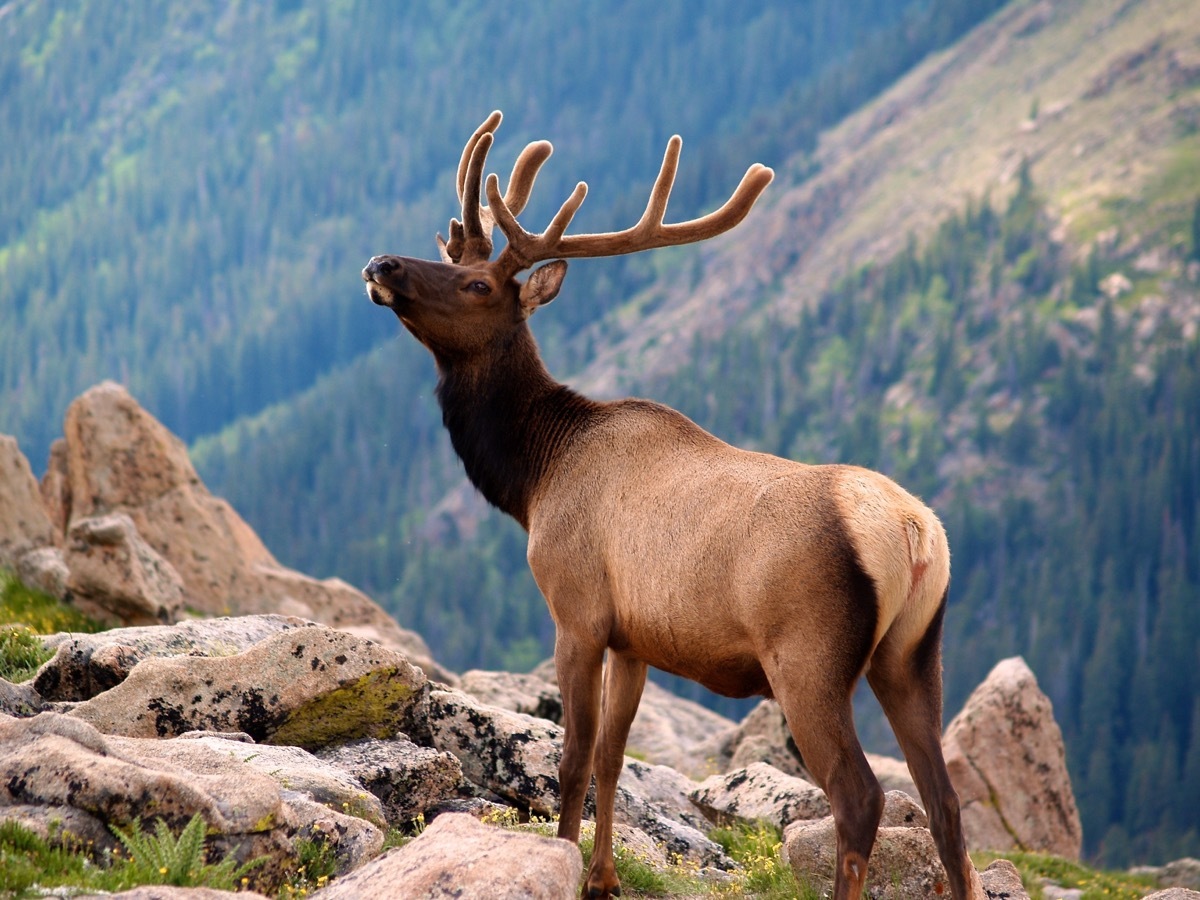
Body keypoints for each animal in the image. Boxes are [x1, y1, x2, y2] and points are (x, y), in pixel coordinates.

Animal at [364, 112, 984, 900]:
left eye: (477, 283)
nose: (382, 263)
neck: (533, 478)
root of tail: (912, 532)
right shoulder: (636, 638)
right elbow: (613, 756)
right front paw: (602, 878)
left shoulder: (577, 608)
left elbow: (573, 759)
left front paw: (569, 865)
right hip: (913, 652)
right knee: (946, 805)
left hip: (808, 655)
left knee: (860, 796)